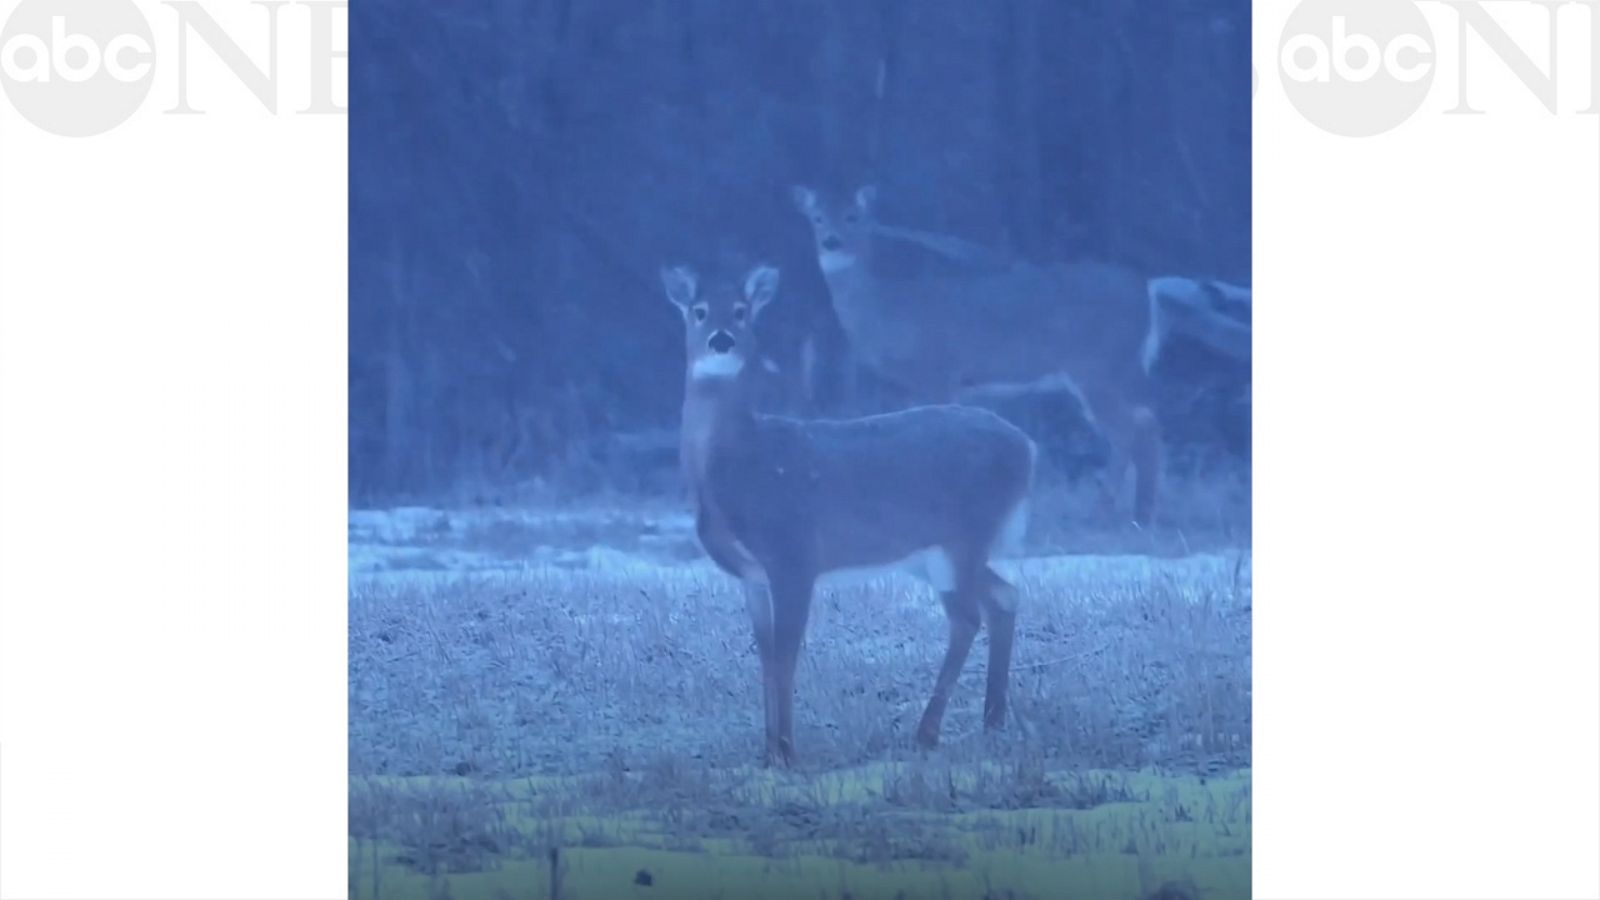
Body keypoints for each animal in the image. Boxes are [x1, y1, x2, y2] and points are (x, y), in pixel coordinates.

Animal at [662, 259, 1036, 762]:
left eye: (741, 311)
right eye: (699, 311)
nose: (721, 339)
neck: (740, 465)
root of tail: (1028, 449)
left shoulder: (795, 553)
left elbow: (786, 652)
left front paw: (786, 749)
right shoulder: (752, 575)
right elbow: (764, 652)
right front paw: (768, 748)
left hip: (962, 537)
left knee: (967, 617)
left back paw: (928, 731)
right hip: (931, 553)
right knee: (1003, 596)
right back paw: (991, 719)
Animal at [793, 185, 1254, 528]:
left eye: (853, 215)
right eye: (817, 218)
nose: (831, 242)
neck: (888, 307)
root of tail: (1149, 287)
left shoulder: (938, 370)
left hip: (1100, 367)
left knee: (1133, 430)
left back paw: (1124, 513)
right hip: (1118, 370)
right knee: (1144, 426)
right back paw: (1126, 511)